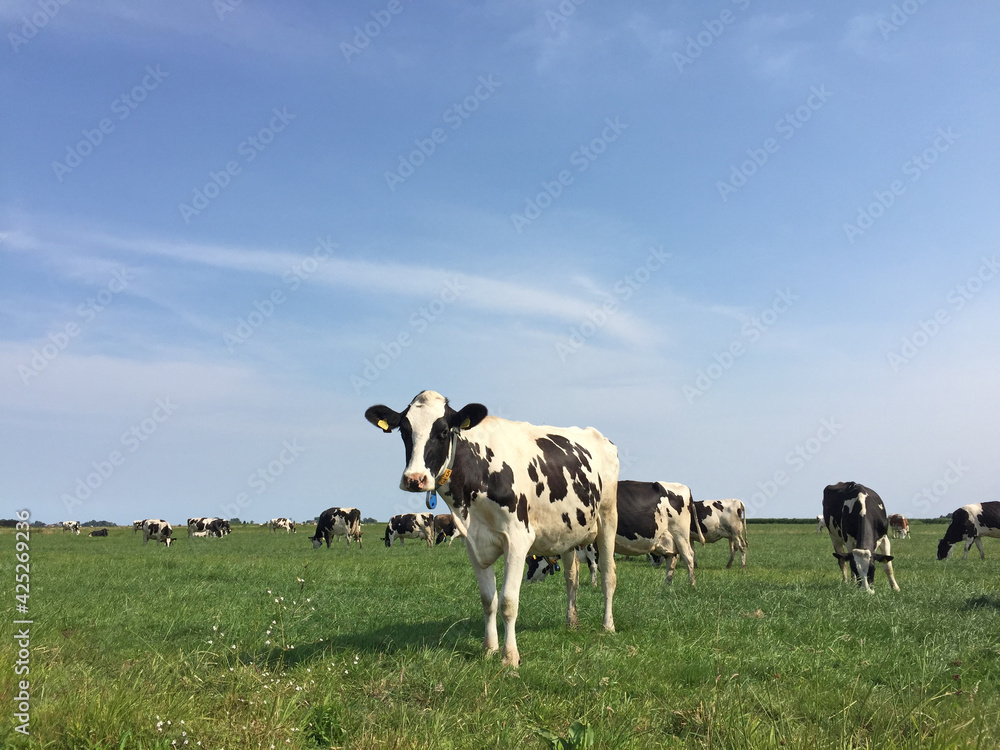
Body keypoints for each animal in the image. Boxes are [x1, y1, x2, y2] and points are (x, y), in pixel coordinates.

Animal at [368, 390, 616, 668]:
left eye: (442, 431)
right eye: (404, 430)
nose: (414, 479)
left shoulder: (518, 540)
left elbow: (508, 601)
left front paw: (510, 657)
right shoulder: (473, 543)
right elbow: (488, 600)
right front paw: (489, 649)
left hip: (608, 520)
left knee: (608, 575)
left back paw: (608, 625)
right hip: (567, 532)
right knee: (571, 577)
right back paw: (571, 622)